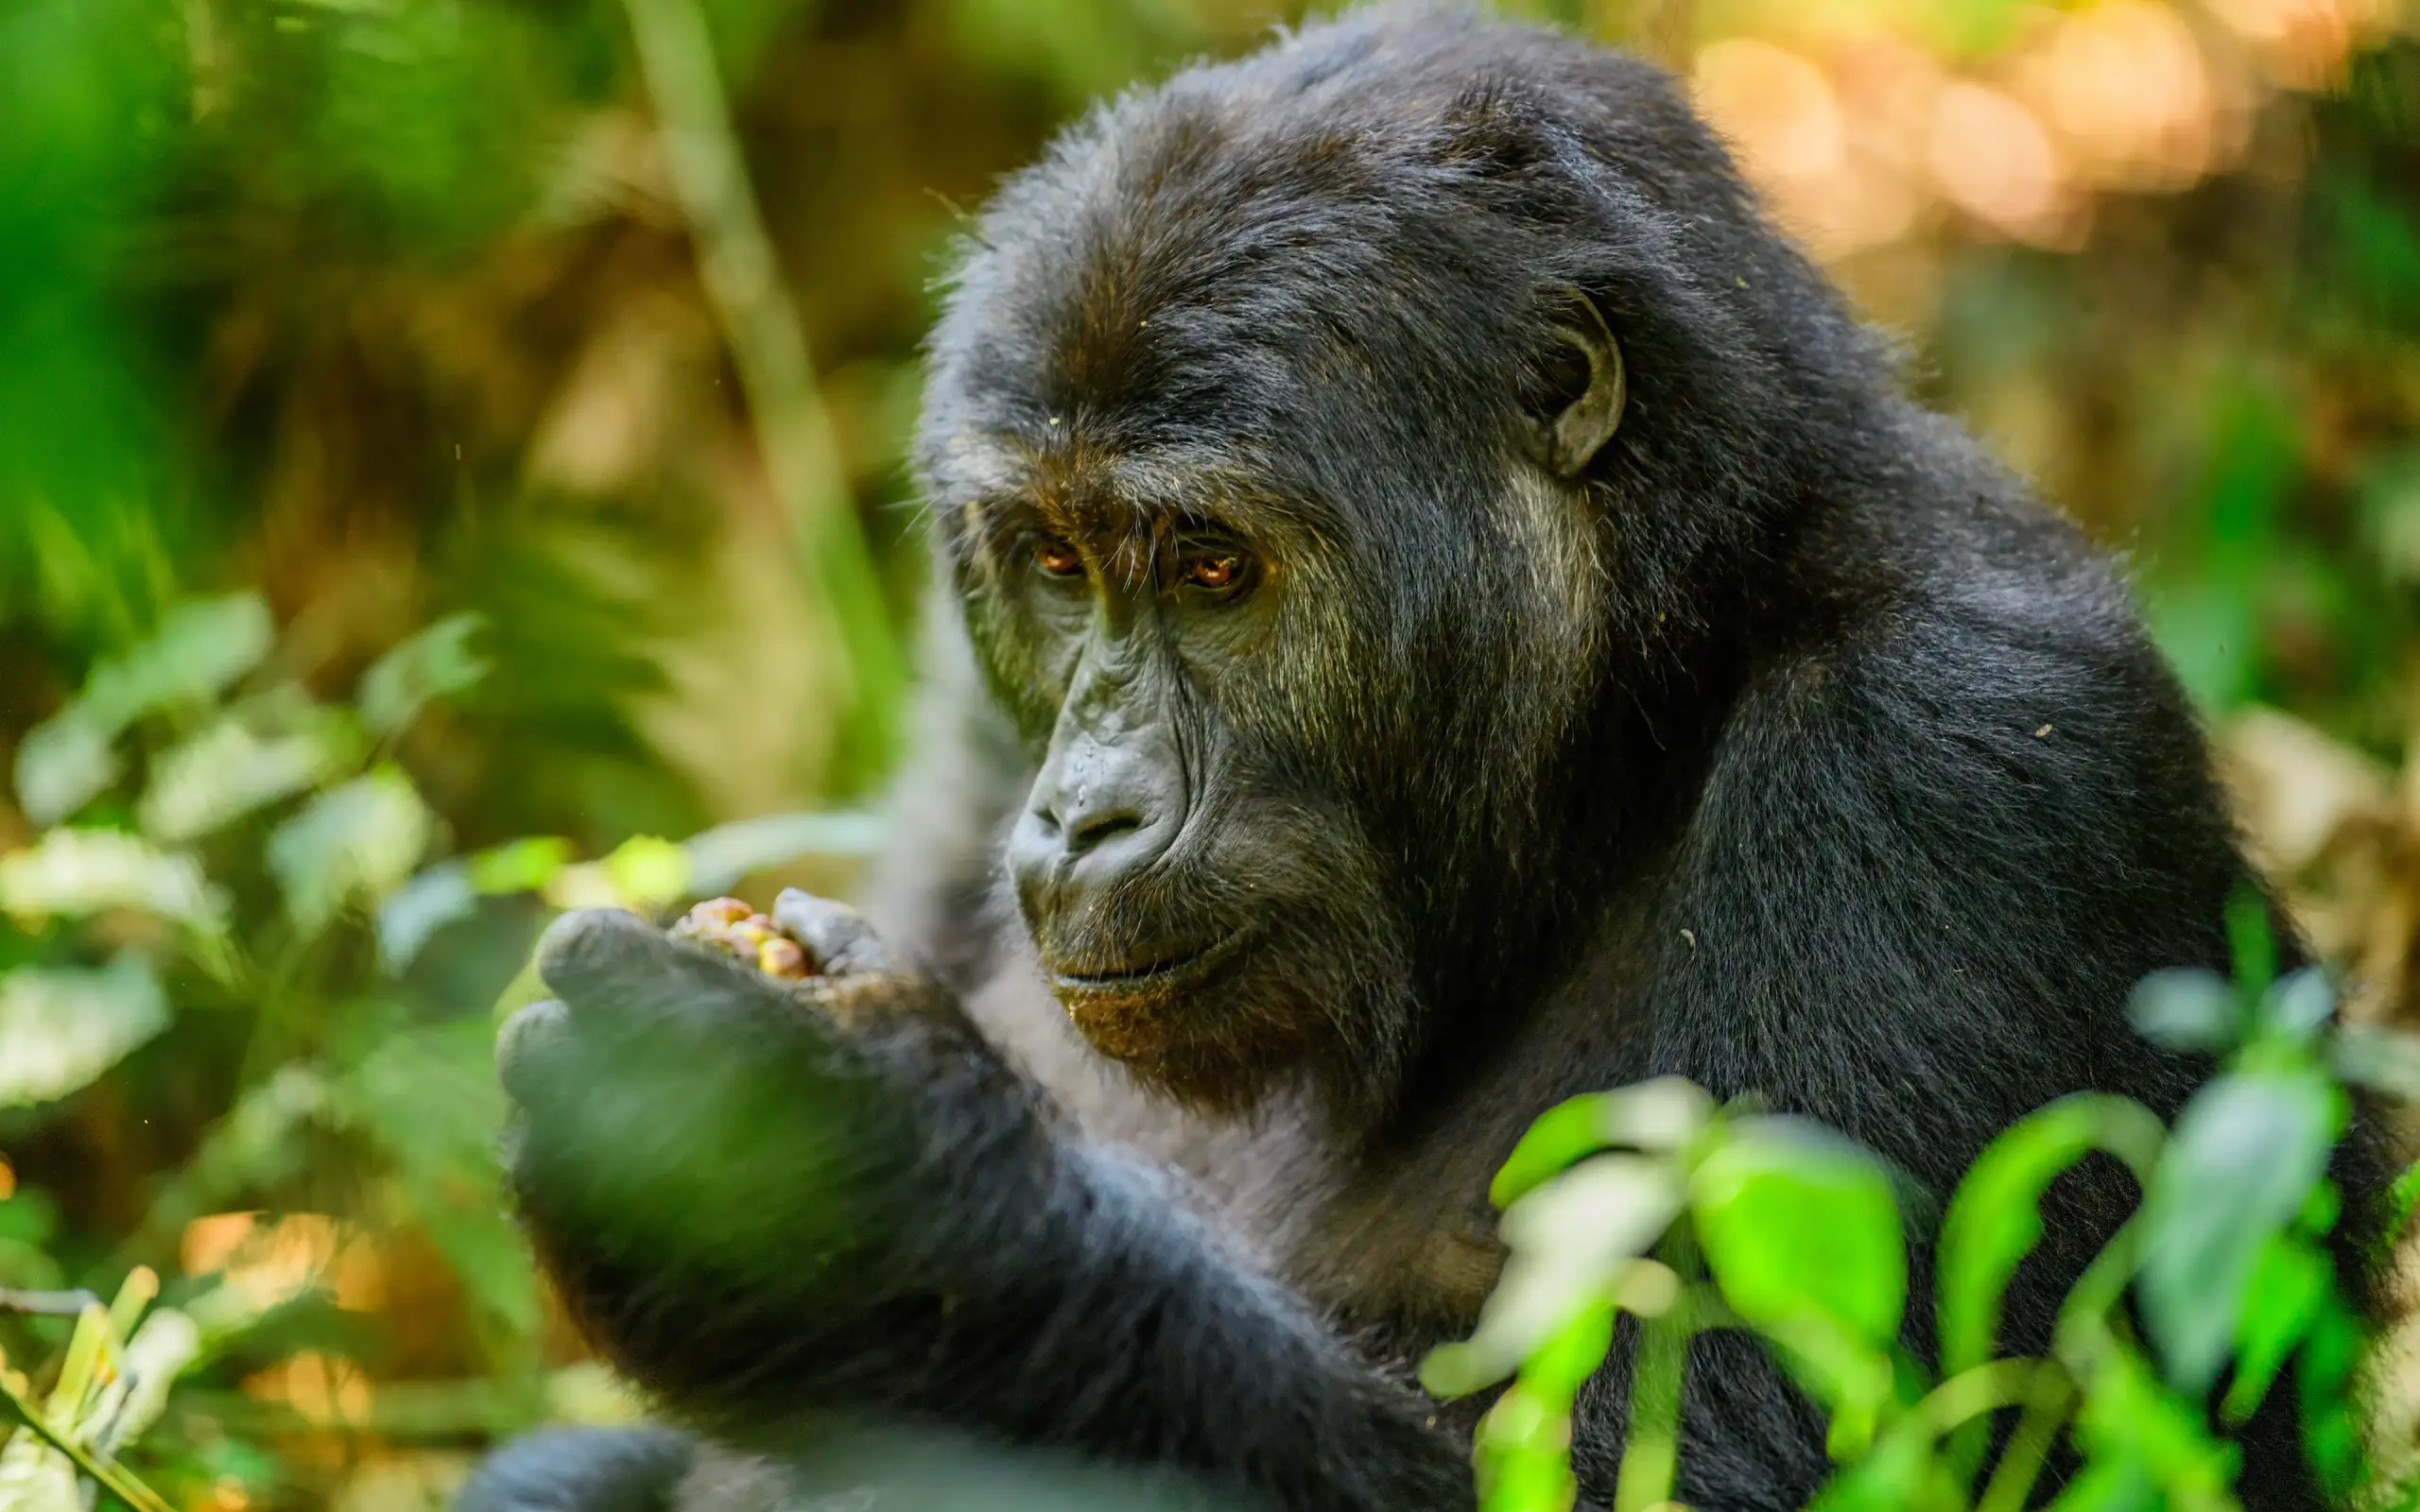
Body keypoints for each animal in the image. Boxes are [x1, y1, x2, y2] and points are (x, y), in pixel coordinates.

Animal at [460, 7, 2391, 1510]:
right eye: (1061, 565)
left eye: (1213, 567)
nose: (1085, 807)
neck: (1640, 706)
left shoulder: (1963, 760)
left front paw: (868, 1200)